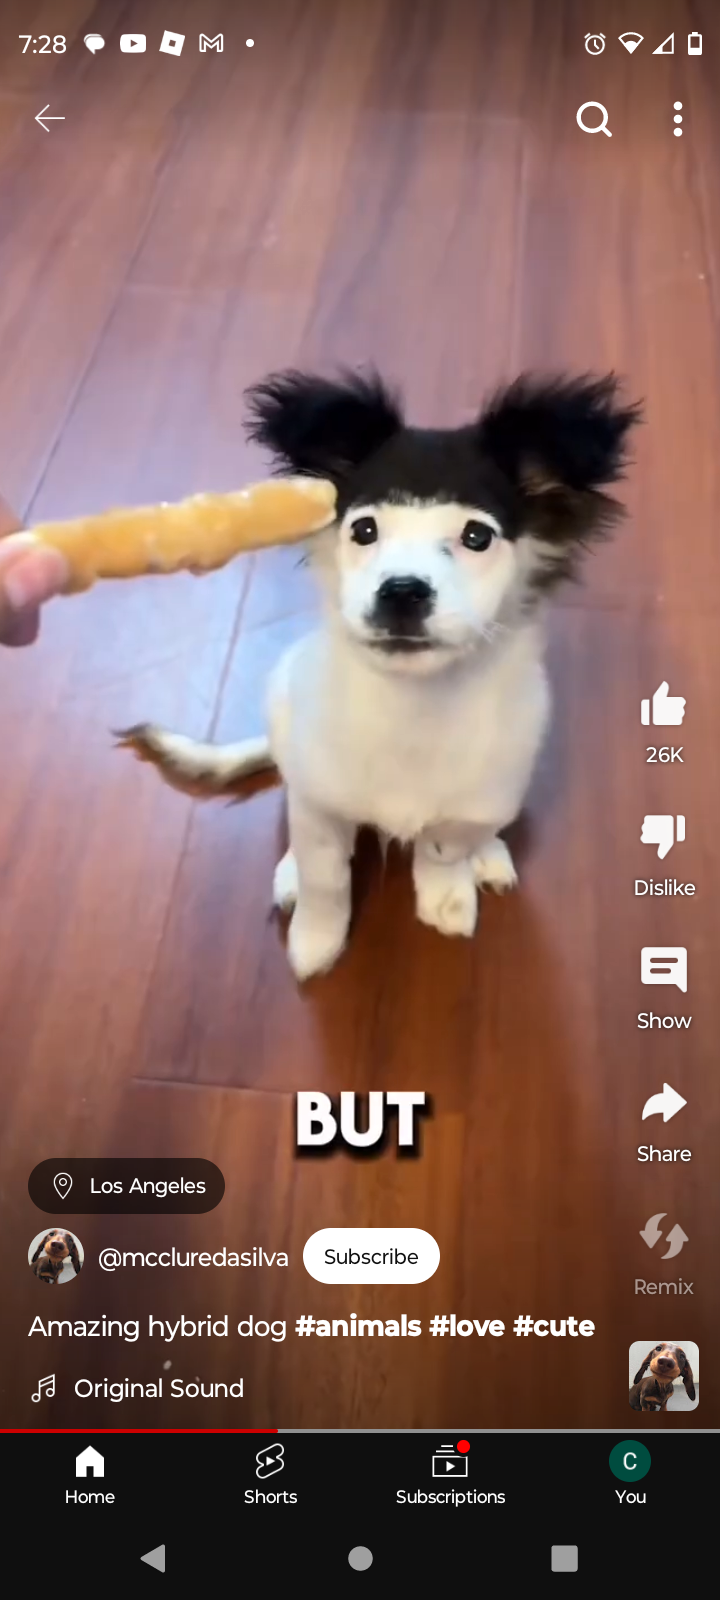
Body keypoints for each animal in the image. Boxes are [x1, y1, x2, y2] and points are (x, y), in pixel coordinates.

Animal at [123, 369, 640, 979]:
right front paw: (316, 938)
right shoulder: (320, 805)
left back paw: (488, 856)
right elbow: (326, 875)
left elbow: (444, 848)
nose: (402, 591)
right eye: (364, 530)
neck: (415, 708)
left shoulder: (473, 798)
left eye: (477, 537)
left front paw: (446, 896)